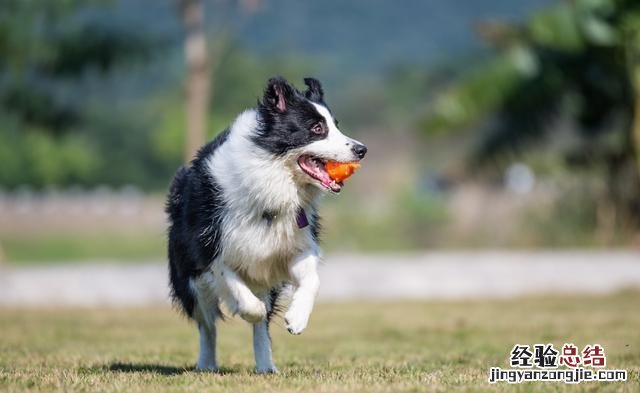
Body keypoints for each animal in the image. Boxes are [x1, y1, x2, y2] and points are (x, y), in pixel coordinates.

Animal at [165, 76, 364, 370]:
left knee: (259, 324)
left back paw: (266, 366)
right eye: (317, 128)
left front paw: (297, 318)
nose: (362, 149)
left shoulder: (294, 244)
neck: (273, 180)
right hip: (189, 278)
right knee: (207, 324)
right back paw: (207, 363)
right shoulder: (211, 248)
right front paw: (249, 310)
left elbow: (312, 280)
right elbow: (234, 285)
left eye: (336, 125)